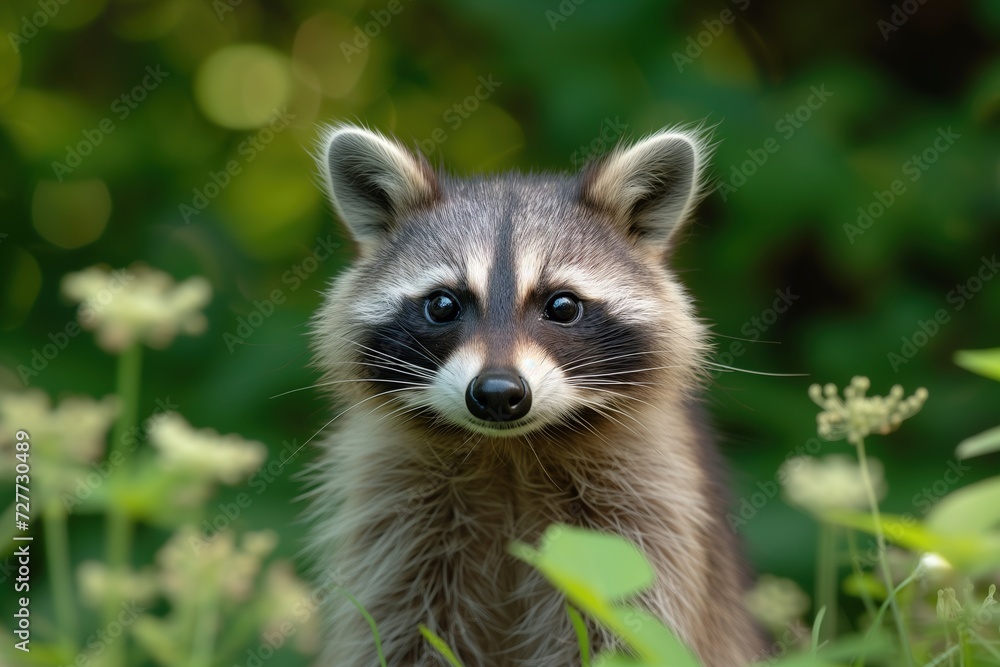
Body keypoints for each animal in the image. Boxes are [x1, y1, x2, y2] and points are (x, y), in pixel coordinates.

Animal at [304, 122, 756, 664]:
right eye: (442, 305)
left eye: (562, 306)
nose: (498, 393)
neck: (509, 452)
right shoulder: (397, 514)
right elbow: (398, 627)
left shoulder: (644, 508)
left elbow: (624, 625)